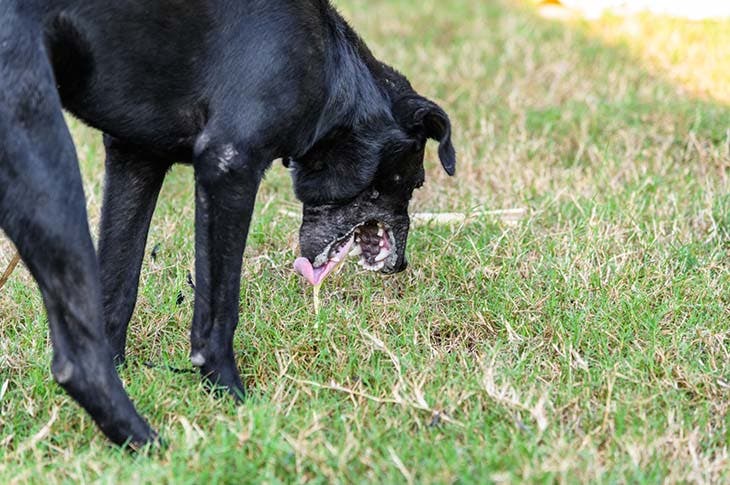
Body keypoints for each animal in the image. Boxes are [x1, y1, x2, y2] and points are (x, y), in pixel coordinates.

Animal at [0, 0, 452, 446]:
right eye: (415, 181)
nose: (401, 264)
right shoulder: (228, 166)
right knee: (76, 360)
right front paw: (231, 396)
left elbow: (117, 289)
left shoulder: (135, 157)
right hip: (47, 161)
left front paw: (125, 367)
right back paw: (148, 442)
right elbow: (219, 311)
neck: (336, 71)